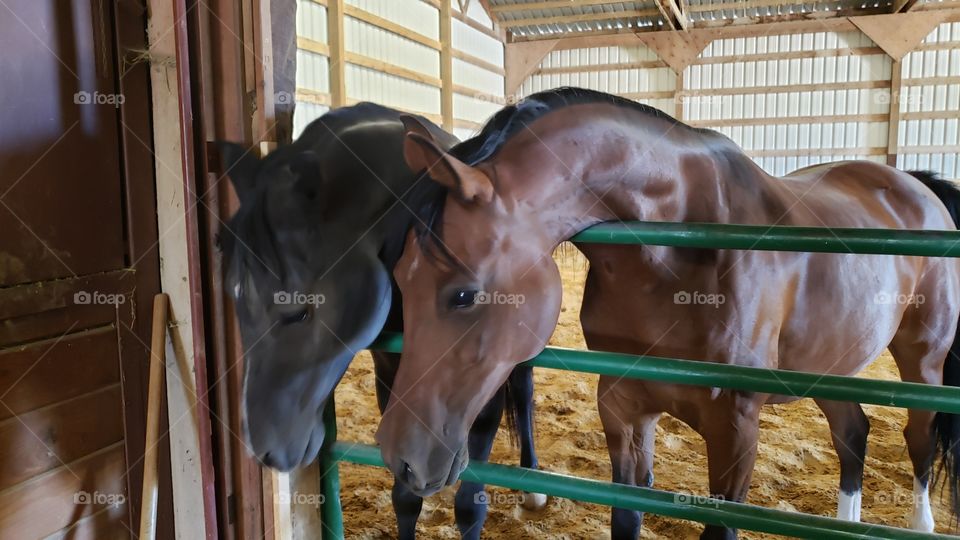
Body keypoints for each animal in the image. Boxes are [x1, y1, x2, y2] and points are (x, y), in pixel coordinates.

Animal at [218, 102, 544, 539]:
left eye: (298, 311)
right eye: (234, 297)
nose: (264, 452)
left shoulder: (484, 388)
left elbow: (470, 505)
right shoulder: (390, 374)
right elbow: (404, 497)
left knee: (523, 394)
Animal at [373, 87, 960, 539]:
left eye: (463, 295)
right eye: (400, 278)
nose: (400, 455)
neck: (678, 247)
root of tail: (915, 186)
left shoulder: (735, 429)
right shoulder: (624, 407)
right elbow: (627, 518)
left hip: (923, 361)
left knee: (918, 436)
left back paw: (921, 523)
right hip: (829, 367)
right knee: (852, 434)